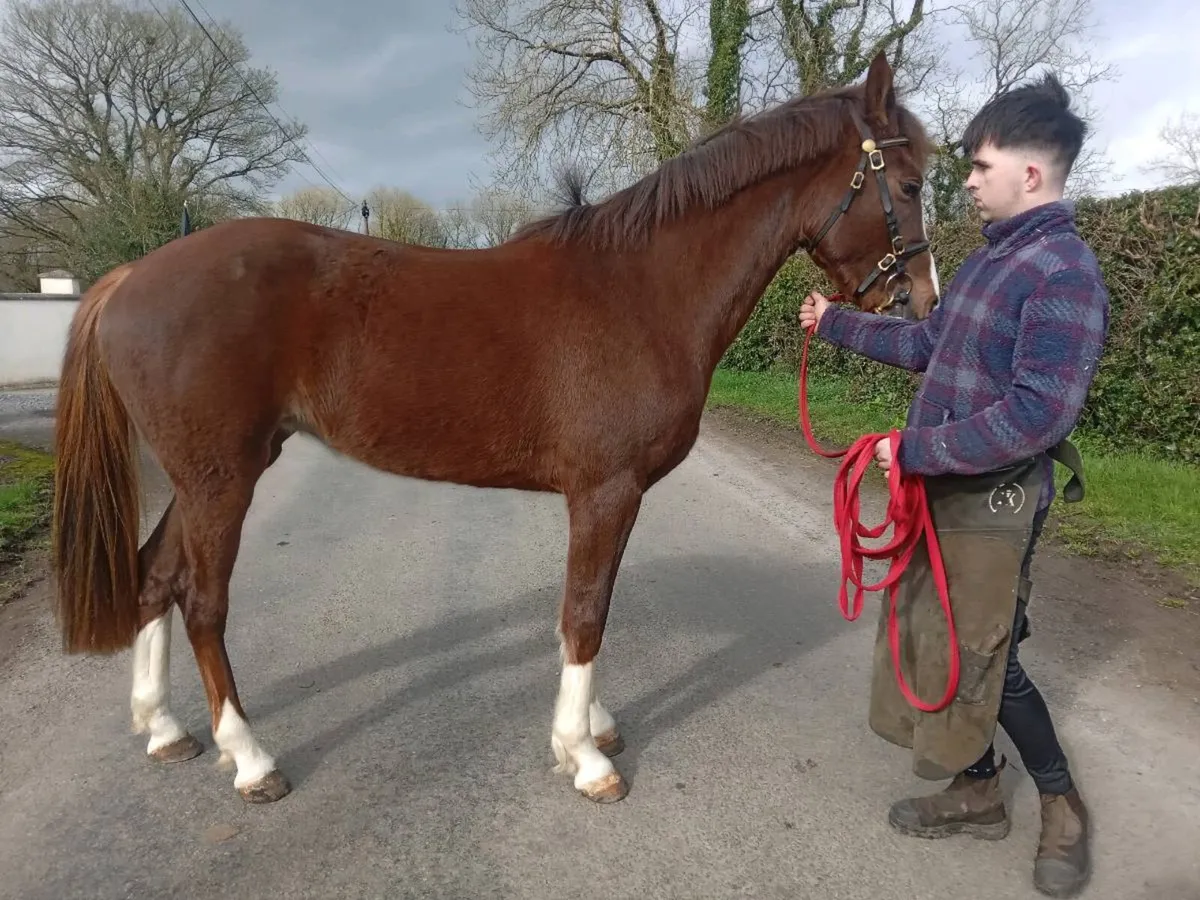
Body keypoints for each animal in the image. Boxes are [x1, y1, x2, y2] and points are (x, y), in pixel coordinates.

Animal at [49, 51, 939, 806]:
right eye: (906, 182)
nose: (924, 303)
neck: (641, 289)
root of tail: (130, 277)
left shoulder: (612, 498)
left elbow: (589, 609)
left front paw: (594, 727)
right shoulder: (606, 491)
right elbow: (585, 613)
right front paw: (584, 758)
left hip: (213, 473)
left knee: (154, 577)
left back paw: (165, 729)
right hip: (222, 480)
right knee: (201, 601)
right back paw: (251, 759)